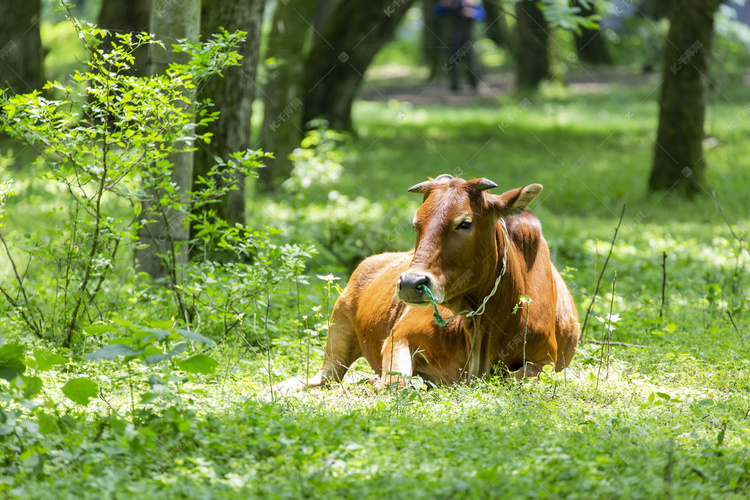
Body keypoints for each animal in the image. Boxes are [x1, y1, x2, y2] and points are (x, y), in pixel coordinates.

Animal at [274, 174, 580, 392]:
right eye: (415, 224)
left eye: (464, 223)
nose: (411, 283)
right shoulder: (399, 337)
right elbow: (397, 383)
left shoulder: (546, 361)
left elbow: (518, 377)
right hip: (339, 327)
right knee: (324, 377)